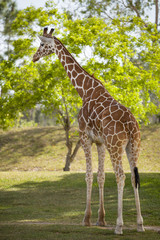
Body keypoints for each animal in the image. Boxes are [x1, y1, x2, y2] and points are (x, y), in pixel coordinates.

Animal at [32, 27, 145, 234]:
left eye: (42, 44)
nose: (34, 57)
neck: (84, 90)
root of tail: (130, 125)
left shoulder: (84, 137)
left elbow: (88, 176)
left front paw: (86, 219)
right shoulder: (99, 141)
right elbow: (100, 176)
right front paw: (101, 219)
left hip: (115, 146)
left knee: (121, 176)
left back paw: (119, 226)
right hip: (133, 145)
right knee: (134, 176)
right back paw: (140, 224)